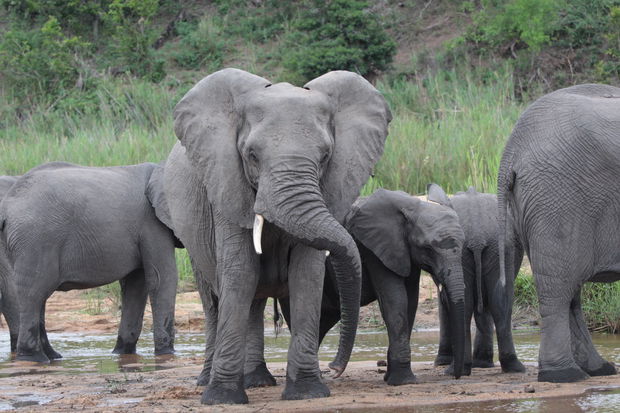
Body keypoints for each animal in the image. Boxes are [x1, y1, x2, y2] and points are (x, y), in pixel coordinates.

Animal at [0, 161, 179, 360]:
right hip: (35, 239)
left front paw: (122, 353)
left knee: (38, 296)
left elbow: (136, 285)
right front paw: (166, 354)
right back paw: (34, 358)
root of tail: (6, 207)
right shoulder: (152, 223)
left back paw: (53, 357)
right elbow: (162, 278)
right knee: (33, 293)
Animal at [163, 67, 388, 402]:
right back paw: (209, 381)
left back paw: (257, 380)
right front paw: (222, 398)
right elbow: (240, 272)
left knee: (254, 302)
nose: (334, 367)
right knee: (215, 301)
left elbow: (306, 274)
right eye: (252, 155)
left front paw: (307, 392)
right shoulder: (226, 184)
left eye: (325, 156)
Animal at [428, 183, 524, 374]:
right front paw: (482, 363)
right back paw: (513, 367)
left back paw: (455, 370)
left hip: (463, 251)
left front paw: (441, 362)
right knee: (501, 302)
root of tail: (477, 237)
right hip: (501, 248)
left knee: (467, 306)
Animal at [498, 83, 620, 384]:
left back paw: (597, 370)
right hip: (557, 199)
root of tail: (512, 150)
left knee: (569, 290)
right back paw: (564, 375)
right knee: (558, 288)